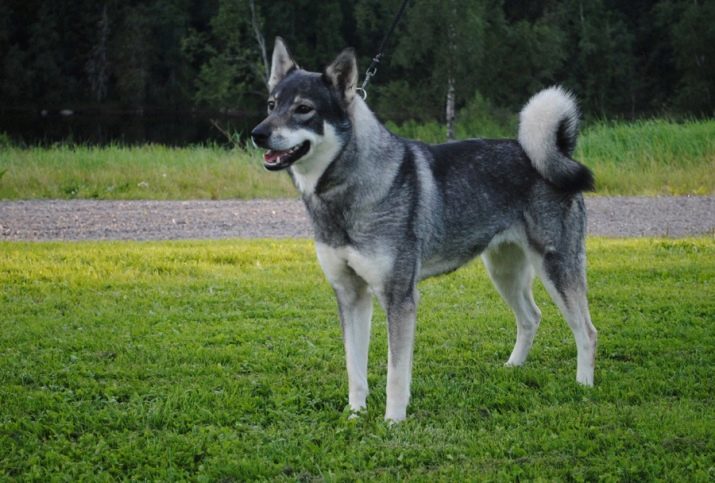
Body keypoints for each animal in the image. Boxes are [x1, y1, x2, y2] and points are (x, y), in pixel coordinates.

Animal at [252, 38, 600, 424]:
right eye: (271, 105)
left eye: (303, 109)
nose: (258, 134)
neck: (347, 192)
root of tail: (557, 154)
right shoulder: (350, 295)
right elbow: (354, 368)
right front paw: (355, 415)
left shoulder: (399, 298)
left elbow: (396, 372)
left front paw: (393, 421)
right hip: (503, 272)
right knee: (531, 318)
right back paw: (513, 367)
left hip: (556, 268)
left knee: (586, 331)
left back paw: (583, 386)